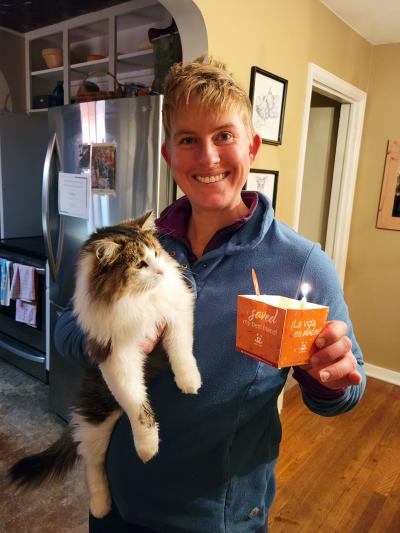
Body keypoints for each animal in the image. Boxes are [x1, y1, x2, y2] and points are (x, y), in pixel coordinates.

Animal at [8, 212, 203, 516]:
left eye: (157, 253)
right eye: (141, 264)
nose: (161, 271)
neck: (137, 301)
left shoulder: (176, 314)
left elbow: (182, 350)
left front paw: (189, 381)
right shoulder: (116, 357)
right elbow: (138, 407)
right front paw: (147, 447)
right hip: (97, 419)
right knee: (92, 464)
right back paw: (100, 506)